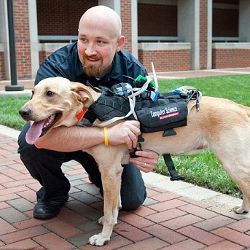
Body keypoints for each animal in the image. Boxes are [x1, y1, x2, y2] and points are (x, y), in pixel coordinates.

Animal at [20, 76, 250, 246]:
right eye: (32, 92)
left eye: (50, 93)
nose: (23, 112)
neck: (91, 111)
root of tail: (241, 107)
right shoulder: (116, 171)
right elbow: (114, 206)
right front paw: (110, 223)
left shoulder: (109, 172)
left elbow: (109, 208)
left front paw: (104, 236)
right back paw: (243, 209)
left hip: (233, 163)